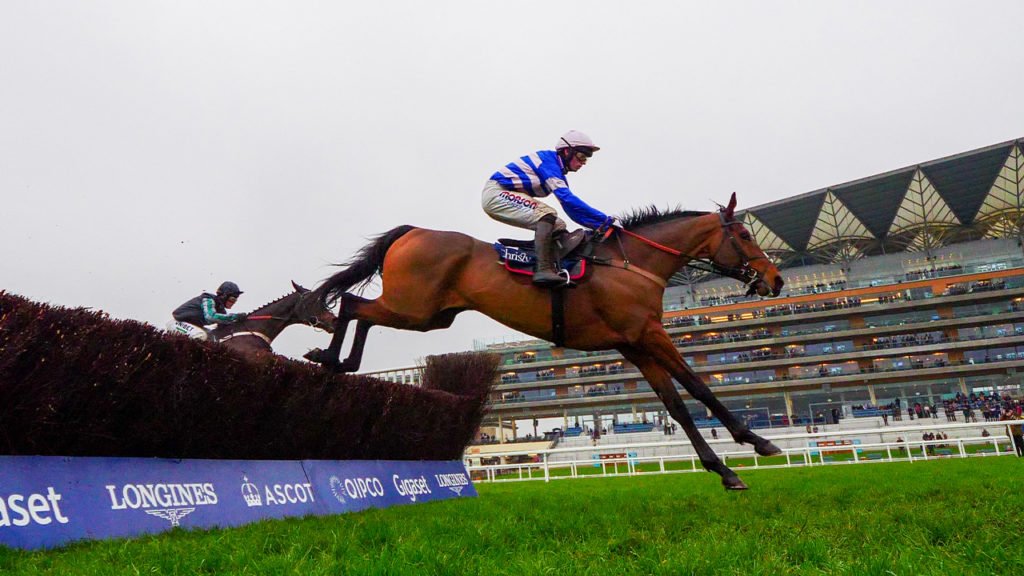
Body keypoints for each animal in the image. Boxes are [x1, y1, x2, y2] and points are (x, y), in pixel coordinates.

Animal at [307, 191, 786, 483]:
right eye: (745, 234)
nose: (776, 280)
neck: (633, 264)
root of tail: (413, 231)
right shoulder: (650, 335)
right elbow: (699, 388)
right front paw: (756, 441)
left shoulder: (634, 344)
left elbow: (677, 406)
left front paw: (724, 470)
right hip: (414, 307)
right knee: (350, 303)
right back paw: (330, 358)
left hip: (428, 315)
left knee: (359, 310)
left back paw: (339, 362)